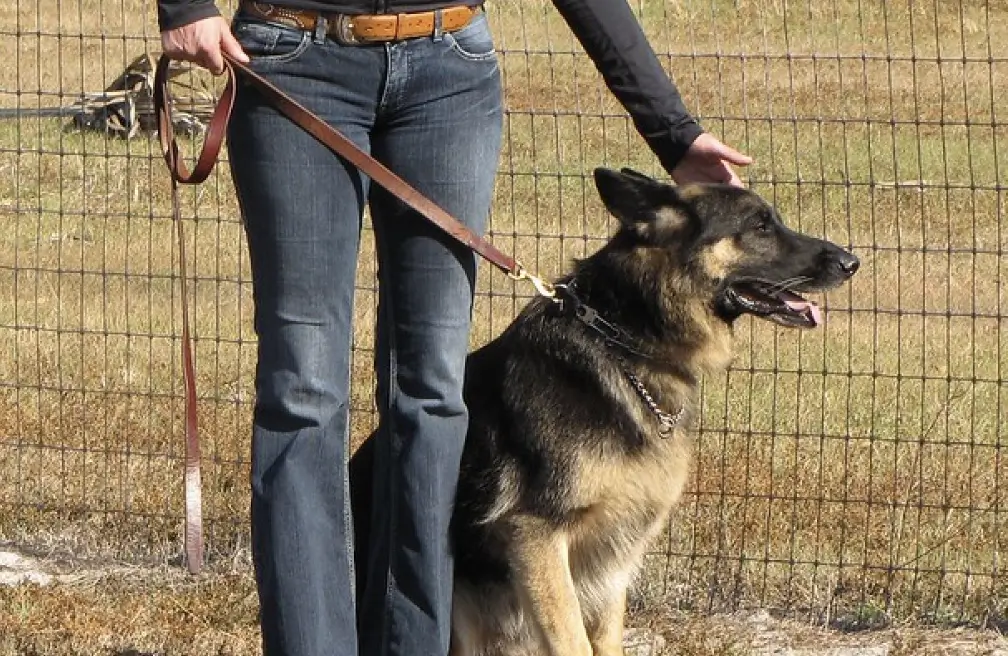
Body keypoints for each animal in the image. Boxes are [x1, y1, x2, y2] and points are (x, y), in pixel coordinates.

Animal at [346, 170, 858, 656]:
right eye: (759, 225)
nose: (851, 263)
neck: (624, 343)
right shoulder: (537, 537)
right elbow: (572, 641)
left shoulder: (612, 554)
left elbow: (606, 640)